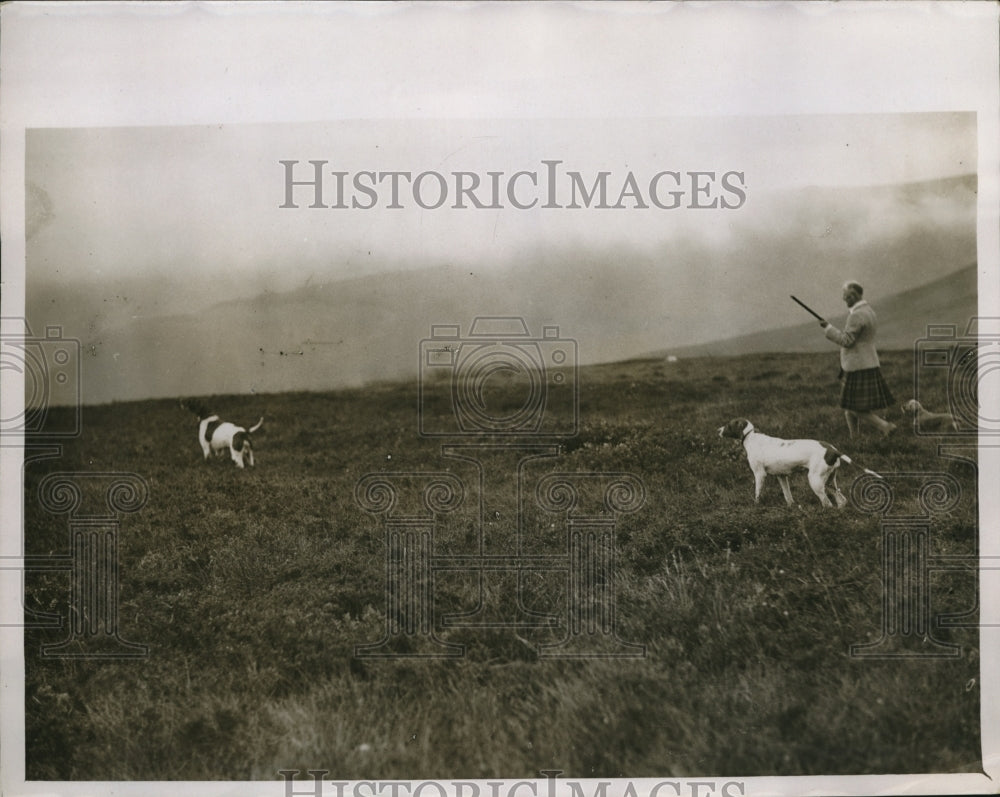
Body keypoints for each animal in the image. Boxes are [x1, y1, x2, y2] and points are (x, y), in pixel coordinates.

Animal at [720, 414, 884, 506]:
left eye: (728, 425)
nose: (718, 430)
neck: (751, 437)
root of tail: (832, 449)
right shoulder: (782, 476)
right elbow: (788, 496)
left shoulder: (760, 475)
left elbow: (757, 494)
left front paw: (756, 506)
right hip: (829, 481)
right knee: (841, 501)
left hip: (815, 480)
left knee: (827, 503)